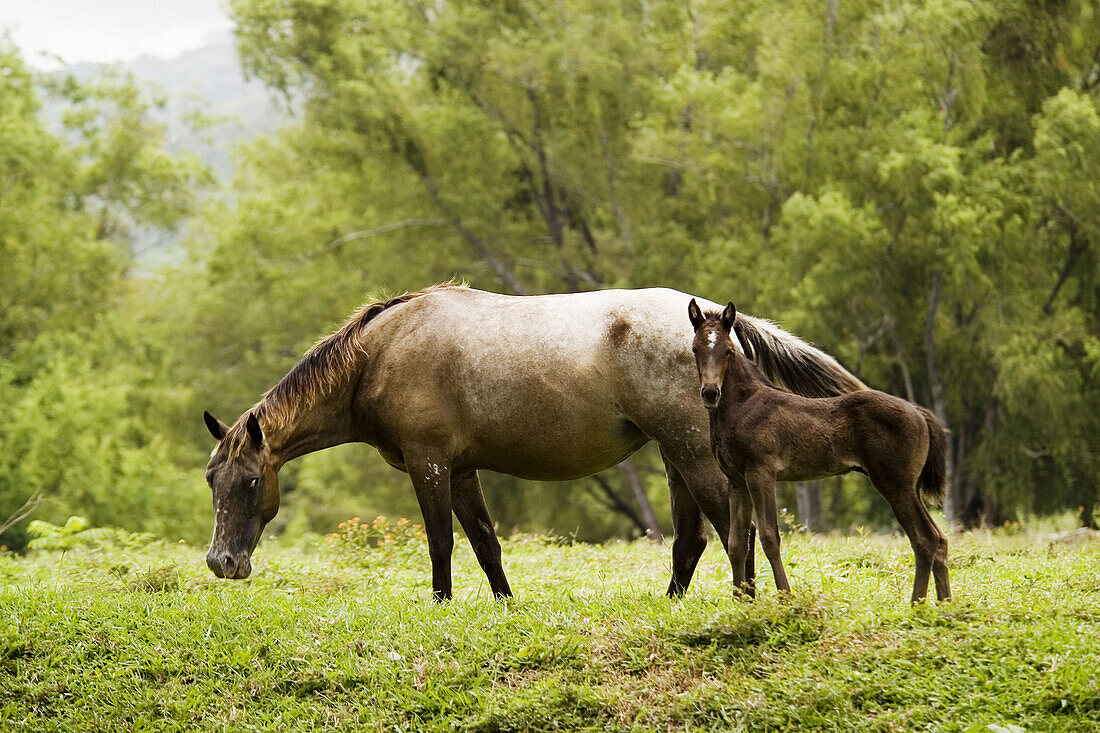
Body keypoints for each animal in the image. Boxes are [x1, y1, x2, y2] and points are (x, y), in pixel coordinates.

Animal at [202, 281, 862, 598]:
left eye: (252, 481)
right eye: (213, 480)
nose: (221, 563)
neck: (381, 353)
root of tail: (717, 327)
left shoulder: (428, 462)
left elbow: (441, 543)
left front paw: (440, 608)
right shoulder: (461, 468)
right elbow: (486, 544)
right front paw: (504, 607)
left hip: (693, 456)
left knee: (732, 531)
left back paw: (743, 601)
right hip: (678, 456)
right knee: (692, 539)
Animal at [686, 297, 954, 598]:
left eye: (729, 350)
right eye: (695, 348)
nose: (710, 393)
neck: (744, 406)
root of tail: (919, 412)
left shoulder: (761, 473)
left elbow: (769, 537)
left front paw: (785, 598)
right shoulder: (736, 482)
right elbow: (735, 543)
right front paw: (740, 601)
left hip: (895, 484)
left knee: (924, 539)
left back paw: (917, 603)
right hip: (910, 487)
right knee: (939, 539)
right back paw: (944, 604)